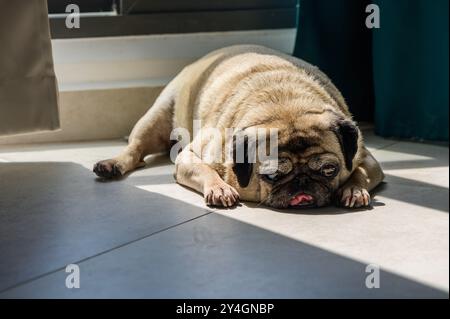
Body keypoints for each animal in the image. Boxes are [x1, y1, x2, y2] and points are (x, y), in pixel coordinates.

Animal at [94, 45, 384, 210]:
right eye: (271, 175)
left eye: (328, 170)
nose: (302, 183)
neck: (284, 104)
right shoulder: (189, 157)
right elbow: (206, 170)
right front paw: (220, 188)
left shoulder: (367, 159)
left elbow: (359, 172)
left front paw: (353, 189)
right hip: (157, 117)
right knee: (135, 150)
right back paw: (112, 165)